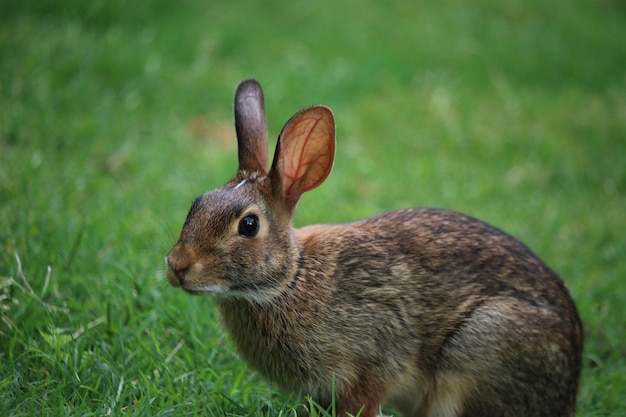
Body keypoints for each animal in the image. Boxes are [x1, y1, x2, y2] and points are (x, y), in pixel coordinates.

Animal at [165, 79, 580, 416]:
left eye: (248, 225)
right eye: (197, 204)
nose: (177, 266)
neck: (290, 280)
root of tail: (569, 389)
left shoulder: (376, 359)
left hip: (483, 343)